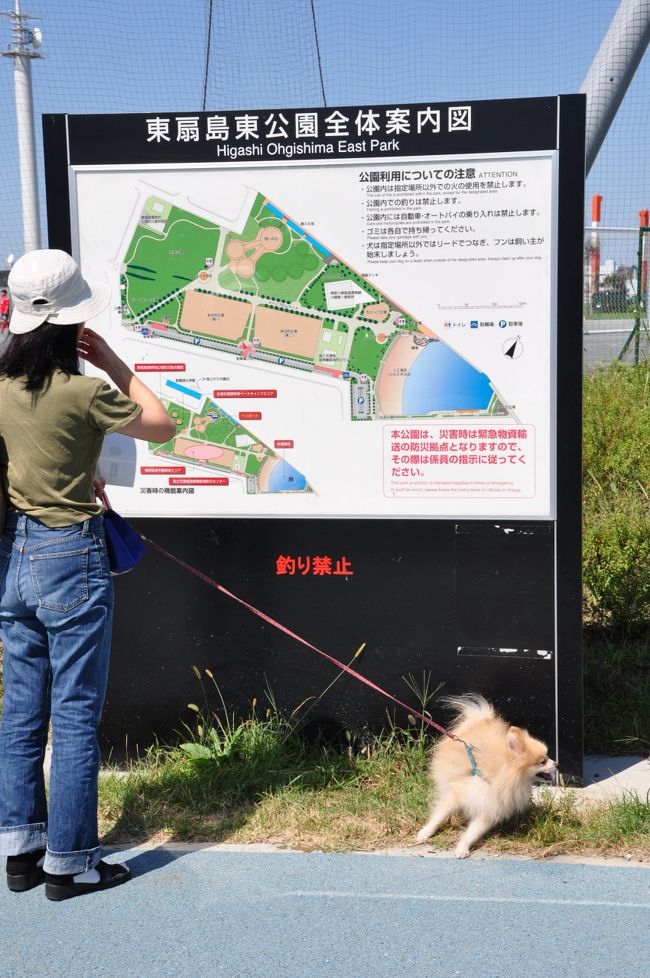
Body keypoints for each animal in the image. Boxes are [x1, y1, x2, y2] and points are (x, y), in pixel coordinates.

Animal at [418, 692, 556, 856]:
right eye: (542, 761)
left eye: (547, 758)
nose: (556, 764)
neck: (498, 777)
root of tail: (481, 719)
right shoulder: (458, 793)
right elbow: (439, 816)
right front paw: (425, 833)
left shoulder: (489, 809)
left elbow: (473, 833)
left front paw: (462, 848)